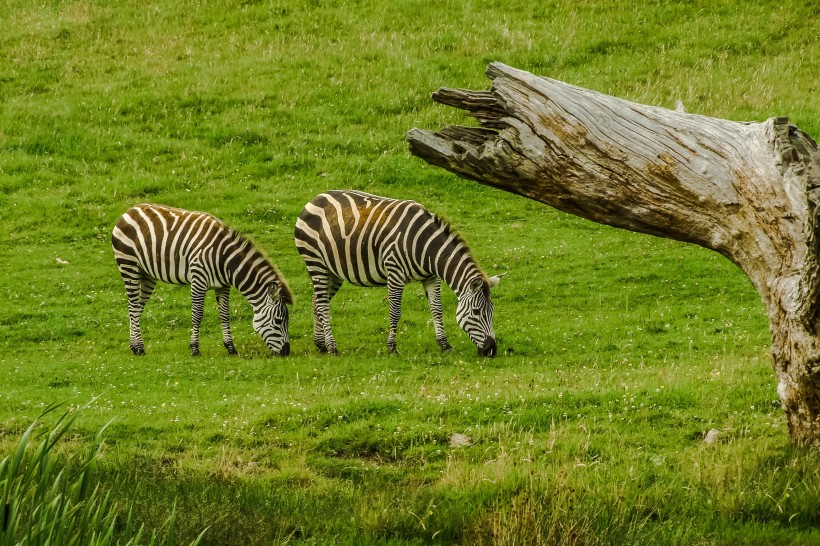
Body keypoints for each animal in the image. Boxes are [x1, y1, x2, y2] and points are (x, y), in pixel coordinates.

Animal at [110, 202, 294, 354]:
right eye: (278, 321)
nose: (286, 352)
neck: (225, 259)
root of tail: (130, 210)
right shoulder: (198, 280)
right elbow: (197, 315)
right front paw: (194, 349)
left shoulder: (223, 285)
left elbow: (224, 315)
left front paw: (231, 348)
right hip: (129, 266)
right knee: (133, 306)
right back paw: (139, 348)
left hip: (147, 274)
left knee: (137, 307)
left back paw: (134, 345)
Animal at [294, 189, 500, 354]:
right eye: (476, 312)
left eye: (492, 310)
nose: (492, 350)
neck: (426, 247)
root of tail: (315, 198)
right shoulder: (395, 273)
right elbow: (395, 312)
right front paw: (391, 347)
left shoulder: (431, 277)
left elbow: (437, 310)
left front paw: (444, 345)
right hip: (316, 262)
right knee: (322, 304)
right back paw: (332, 347)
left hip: (333, 271)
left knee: (315, 300)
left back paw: (320, 344)